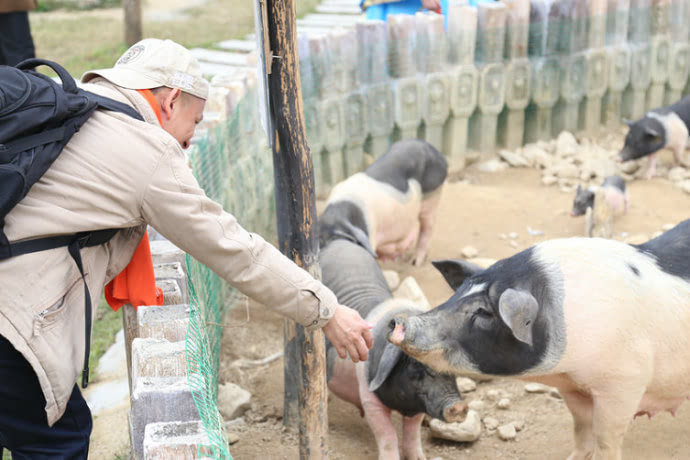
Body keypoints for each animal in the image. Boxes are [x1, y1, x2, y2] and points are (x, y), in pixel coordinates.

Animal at [318, 138, 446, 264]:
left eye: (336, 238)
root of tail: (436, 152)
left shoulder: (372, 235)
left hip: (433, 195)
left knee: (427, 227)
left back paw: (415, 262)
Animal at [320, 239, 464, 458]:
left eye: (451, 368)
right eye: (417, 365)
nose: (459, 406)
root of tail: (337, 242)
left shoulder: (418, 402)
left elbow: (412, 433)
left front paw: (420, 458)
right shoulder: (369, 396)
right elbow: (387, 435)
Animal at [390, 219, 690, 460]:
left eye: (484, 312)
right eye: (458, 293)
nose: (400, 323)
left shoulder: (624, 382)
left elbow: (606, 437)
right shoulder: (573, 388)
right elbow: (581, 428)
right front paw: (572, 457)